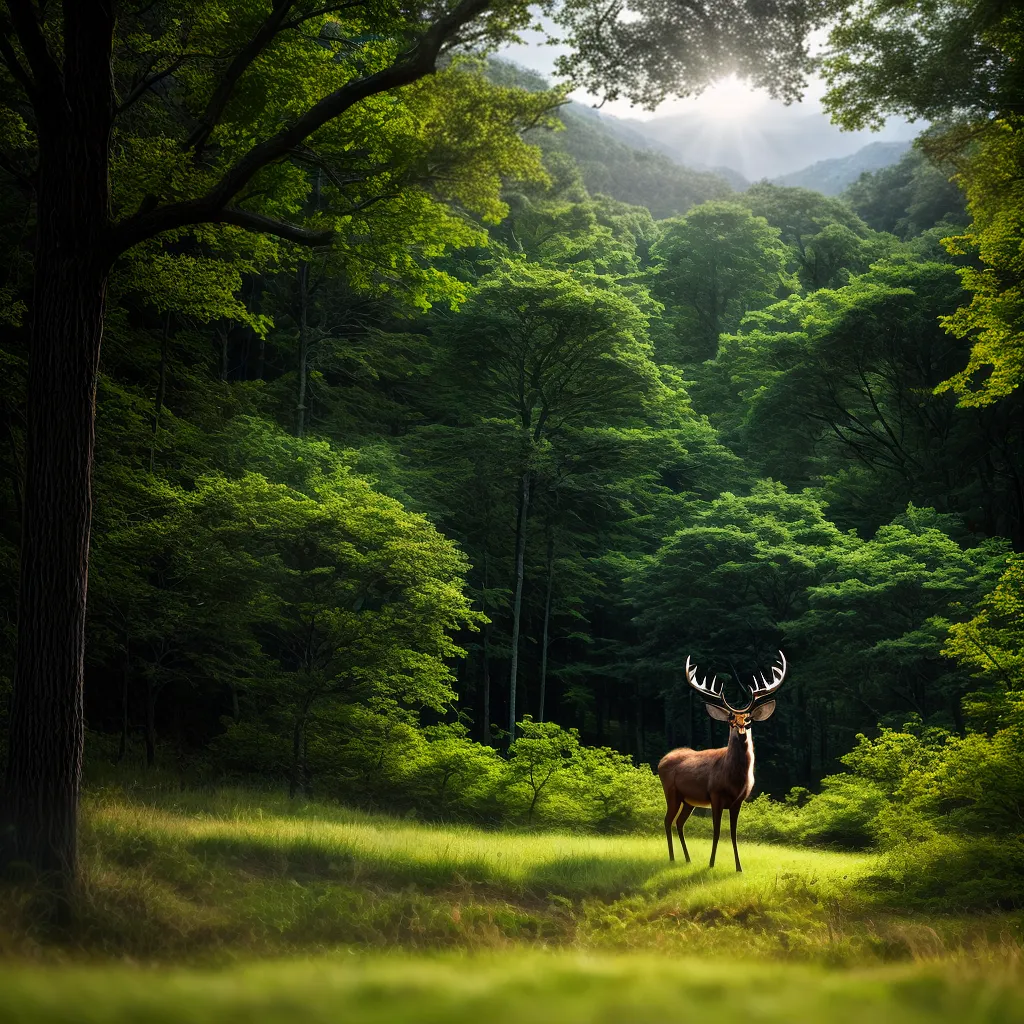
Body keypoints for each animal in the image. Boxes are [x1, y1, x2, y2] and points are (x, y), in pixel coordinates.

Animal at [658, 651, 787, 872]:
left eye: (748, 720)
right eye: (730, 720)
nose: (741, 733)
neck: (733, 779)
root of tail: (661, 761)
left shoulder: (739, 800)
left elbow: (734, 834)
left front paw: (739, 867)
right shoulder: (715, 795)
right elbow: (717, 831)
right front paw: (711, 864)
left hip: (688, 800)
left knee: (679, 822)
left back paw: (687, 858)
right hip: (671, 792)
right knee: (667, 821)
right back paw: (673, 858)